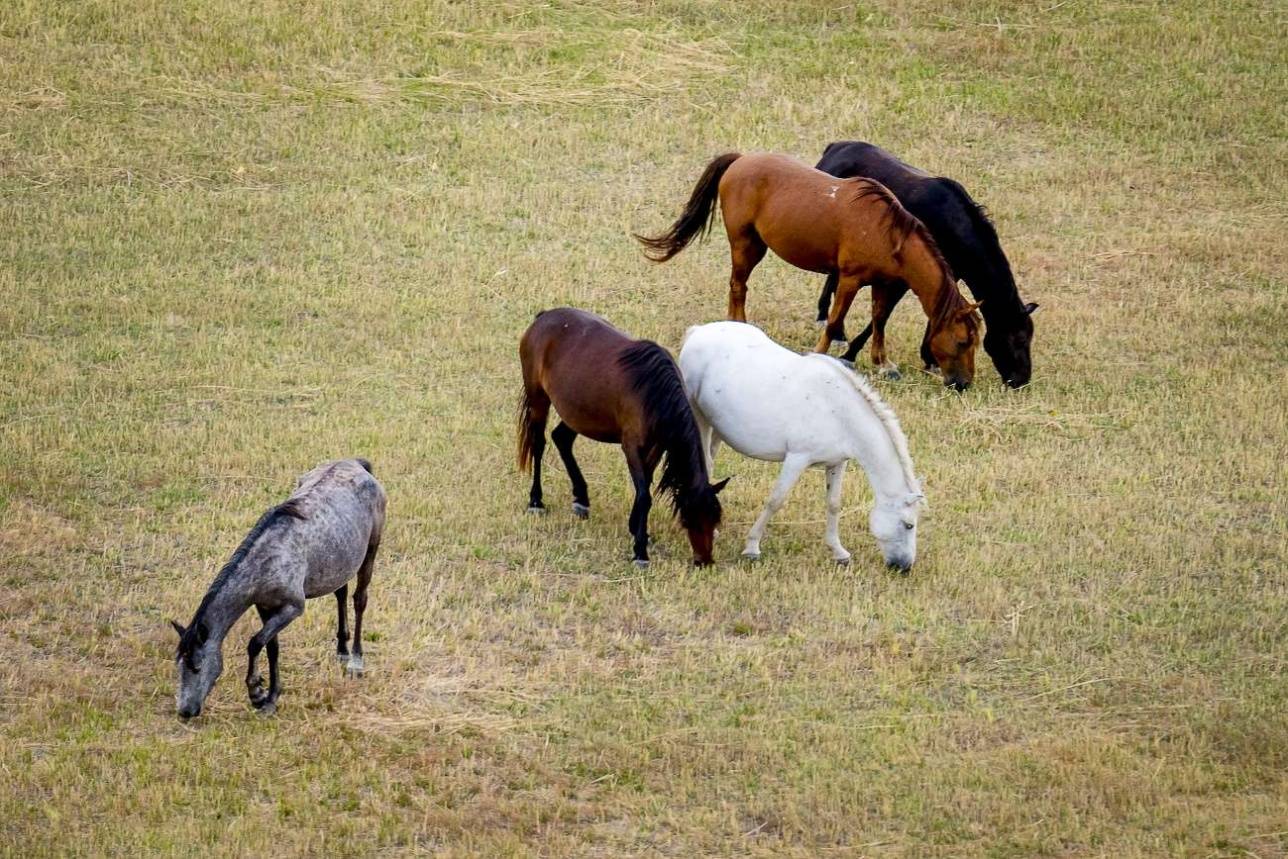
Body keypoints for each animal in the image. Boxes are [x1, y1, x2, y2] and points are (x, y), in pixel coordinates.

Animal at [517, 305, 731, 566]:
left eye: (715, 519)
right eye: (689, 518)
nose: (705, 561)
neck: (652, 393)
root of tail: (544, 316)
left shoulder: (654, 449)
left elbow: (644, 488)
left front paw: (638, 531)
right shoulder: (632, 447)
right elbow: (644, 495)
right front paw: (640, 550)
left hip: (578, 413)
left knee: (562, 439)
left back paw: (581, 499)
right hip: (538, 399)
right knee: (538, 444)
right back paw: (536, 501)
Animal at [636, 152, 984, 391]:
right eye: (962, 341)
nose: (963, 384)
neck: (888, 232)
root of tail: (741, 159)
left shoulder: (883, 285)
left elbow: (879, 321)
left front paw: (883, 364)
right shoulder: (850, 279)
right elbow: (834, 321)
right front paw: (820, 355)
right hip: (745, 244)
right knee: (738, 286)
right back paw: (739, 326)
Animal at [674, 321, 927, 571]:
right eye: (908, 525)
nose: (905, 567)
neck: (838, 411)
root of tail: (698, 331)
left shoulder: (837, 463)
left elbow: (833, 504)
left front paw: (839, 552)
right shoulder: (797, 458)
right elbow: (775, 500)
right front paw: (752, 547)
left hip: (717, 427)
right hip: (699, 417)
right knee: (706, 462)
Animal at [814, 141, 1035, 388]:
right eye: (1018, 339)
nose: (1021, 380)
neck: (956, 225)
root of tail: (836, 146)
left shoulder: (945, 276)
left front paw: (930, 360)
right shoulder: (900, 280)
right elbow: (881, 316)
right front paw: (851, 355)